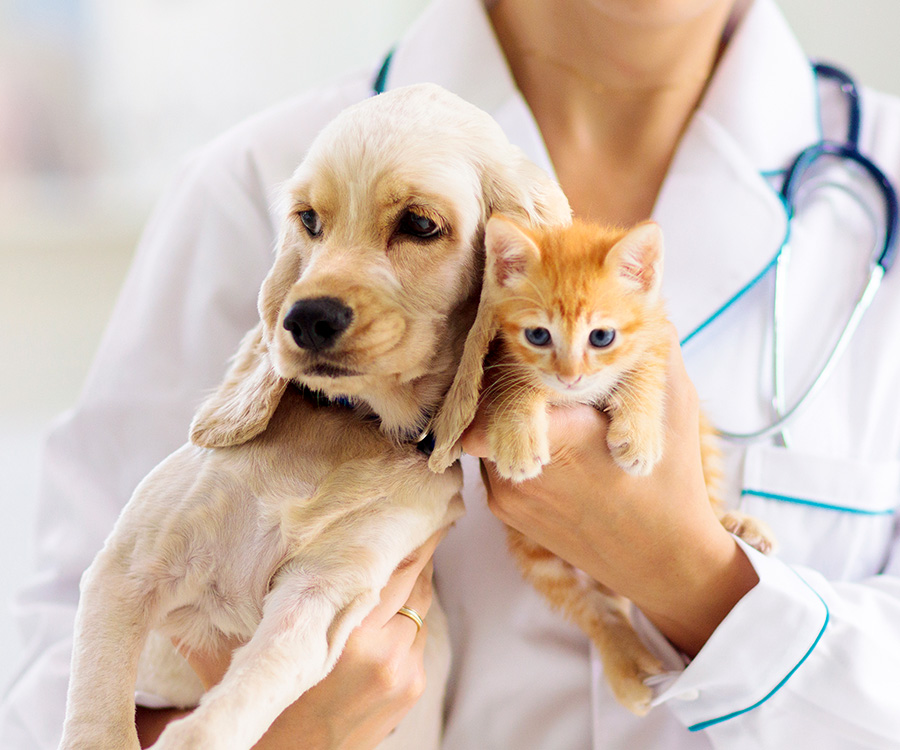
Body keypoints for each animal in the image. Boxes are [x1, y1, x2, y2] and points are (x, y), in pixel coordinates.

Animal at [59, 82, 568, 750]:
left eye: (421, 224)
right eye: (308, 221)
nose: (303, 319)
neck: (347, 429)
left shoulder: (320, 596)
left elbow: (243, 694)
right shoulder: (128, 565)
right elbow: (97, 715)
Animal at [430, 216, 772, 716]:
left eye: (602, 337)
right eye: (538, 335)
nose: (570, 376)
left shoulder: (656, 336)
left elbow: (644, 372)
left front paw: (640, 432)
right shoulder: (492, 356)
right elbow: (512, 386)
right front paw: (517, 437)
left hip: (705, 448)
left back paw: (739, 524)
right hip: (536, 551)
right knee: (595, 609)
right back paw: (626, 664)